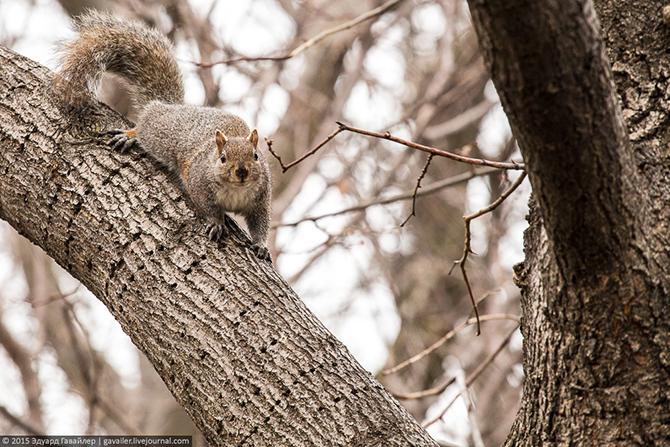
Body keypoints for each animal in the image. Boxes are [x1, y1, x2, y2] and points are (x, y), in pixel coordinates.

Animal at [53, 11, 272, 262]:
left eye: (256, 156)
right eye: (223, 158)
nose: (242, 172)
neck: (236, 189)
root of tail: (173, 107)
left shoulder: (261, 196)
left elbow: (261, 222)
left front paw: (261, 245)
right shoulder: (199, 182)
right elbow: (207, 207)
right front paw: (216, 223)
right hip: (161, 132)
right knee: (148, 120)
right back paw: (131, 135)